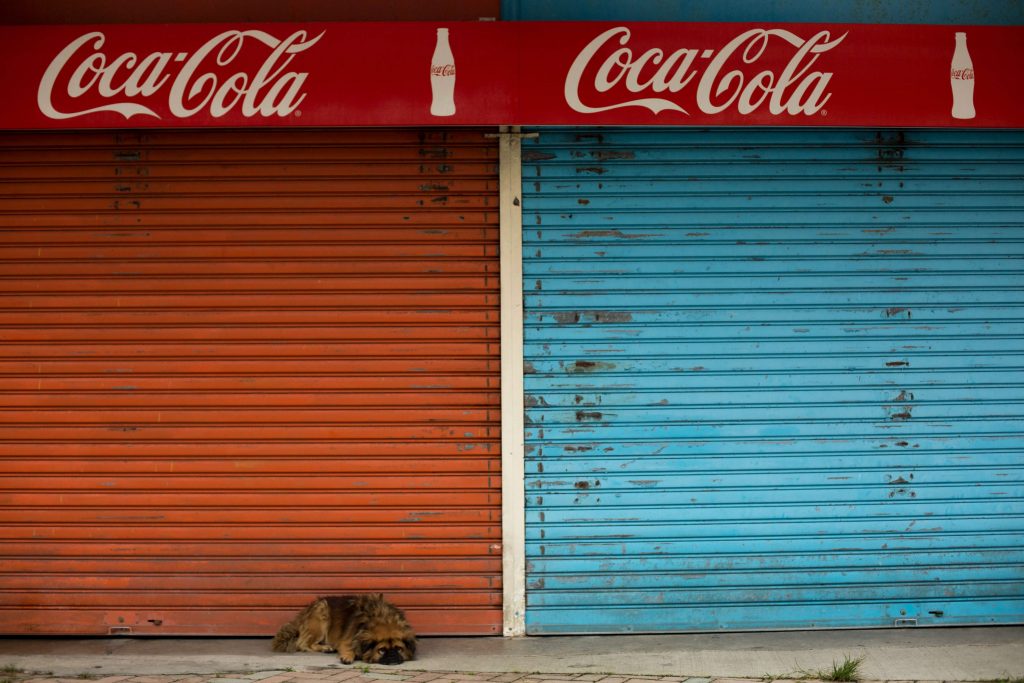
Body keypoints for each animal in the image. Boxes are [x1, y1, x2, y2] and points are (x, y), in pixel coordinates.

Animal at [274, 593, 417, 663]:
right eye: (381, 650)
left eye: (399, 649)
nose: (392, 655)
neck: (383, 618)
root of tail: (306, 610)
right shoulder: (348, 638)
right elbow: (348, 647)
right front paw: (348, 656)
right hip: (322, 614)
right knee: (303, 643)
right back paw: (325, 648)